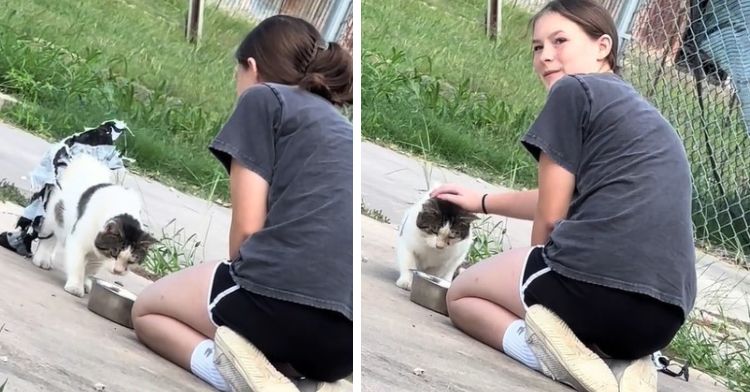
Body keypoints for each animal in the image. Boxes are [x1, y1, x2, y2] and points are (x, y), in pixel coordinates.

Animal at [30, 153, 157, 298]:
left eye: (132, 260)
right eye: (114, 253)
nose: (118, 271)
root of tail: (85, 159)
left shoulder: (98, 255)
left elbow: (90, 269)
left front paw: (85, 283)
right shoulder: (77, 242)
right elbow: (78, 266)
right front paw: (75, 287)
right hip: (54, 215)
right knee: (49, 237)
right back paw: (42, 260)